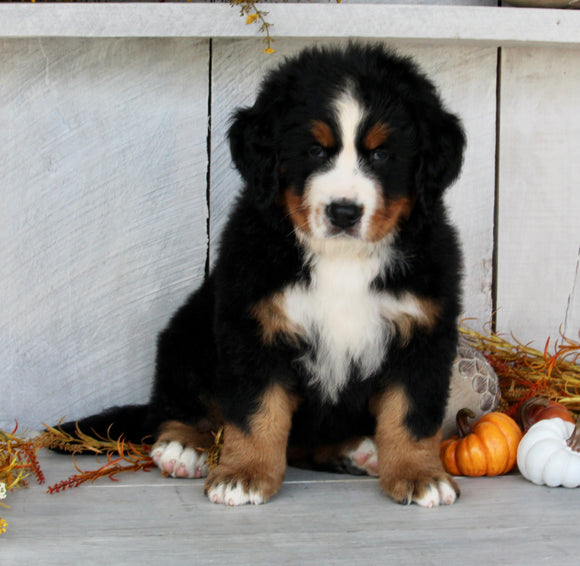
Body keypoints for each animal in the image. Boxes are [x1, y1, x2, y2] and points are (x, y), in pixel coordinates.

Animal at [60, 42, 466, 508]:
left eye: (381, 154)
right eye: (314, 151)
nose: (343, 212)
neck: (342, 259)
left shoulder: (423, 331)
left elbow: (412, 414)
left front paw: (420, 474)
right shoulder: (252, 327)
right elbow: (257, 413)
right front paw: (244, 473)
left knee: (307, 445)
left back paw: (360, 451)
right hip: (188, 332)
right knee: (177, 406)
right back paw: (183, 446)